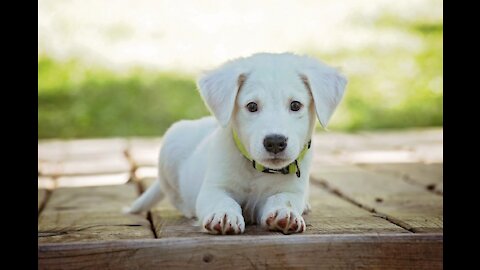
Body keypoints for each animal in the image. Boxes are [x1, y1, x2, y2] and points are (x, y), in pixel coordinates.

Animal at [127, 52, 344, 234]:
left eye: (295, 105)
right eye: (252, 106)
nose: (275, 142)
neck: (256, 170)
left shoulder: (290, 190)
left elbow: (283, 199)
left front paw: (285, 213)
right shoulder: (214, 187)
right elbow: (222, 200)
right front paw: (223, 215)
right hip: (171, 146)